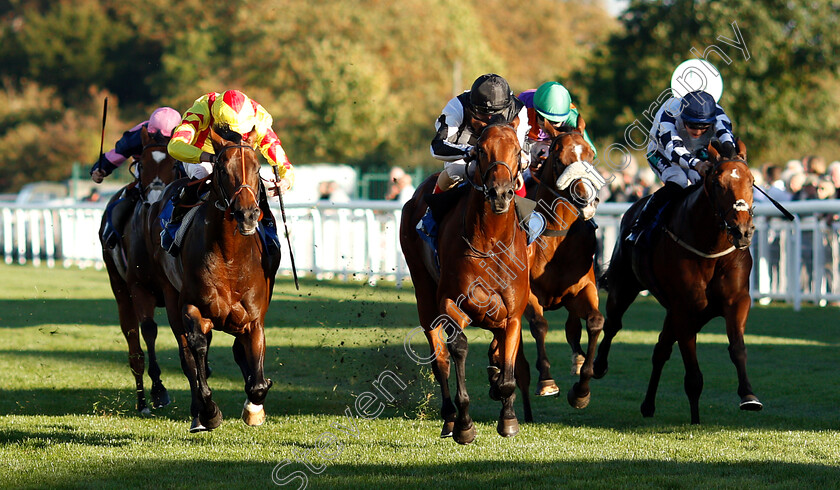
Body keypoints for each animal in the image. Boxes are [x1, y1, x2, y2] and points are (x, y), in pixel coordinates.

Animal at [101, 125, 181, 414]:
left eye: (174, 164)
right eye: (142, 163)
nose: (156, 197)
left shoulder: (172, 289)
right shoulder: (139, 287)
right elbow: (148, 329)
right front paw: (158, 391)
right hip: (119, 287)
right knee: (133, 344)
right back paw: (142, 401)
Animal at [148, 127, 282, 432]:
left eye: (258, 168)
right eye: (221, 168)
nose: (247, 214)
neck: (230, 258)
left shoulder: (254, 319)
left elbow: (257, 381)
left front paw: (254, 408)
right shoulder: (192, 307)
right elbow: (196, 350)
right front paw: (209, 411)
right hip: (171, 298)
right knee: (189, 356)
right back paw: (199, 414)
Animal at [402, 122, 532, 444]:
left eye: (517, 150)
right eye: (482, 150)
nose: (500, 194)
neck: (491, 241)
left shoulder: (513, 312)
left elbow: (508, 363)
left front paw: (508, 416)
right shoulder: (451, 301)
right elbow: (458, 347)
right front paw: (465, 424)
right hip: (423, 292)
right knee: (440, 360)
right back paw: (450, 417)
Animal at [524, 130, 604, 406]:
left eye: (591, 155)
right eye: (559, 160)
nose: (587, 201)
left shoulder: (583, 288)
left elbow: (595, 322)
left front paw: (582, 389)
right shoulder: (528, 293)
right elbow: (539, 325)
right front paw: (546, 381)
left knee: (573, 328)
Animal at [592, 140, 764, 424]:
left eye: (751, 182)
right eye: (719, 184)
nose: (742, 231)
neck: (710, 248)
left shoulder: (735, 300)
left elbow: (737, 347)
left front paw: (749, 396)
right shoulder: (685, 308)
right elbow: (693, 375)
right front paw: (695, 420)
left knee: (660, 349)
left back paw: (648, 405)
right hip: (624, 286)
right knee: (613, 324)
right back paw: (597, 367)